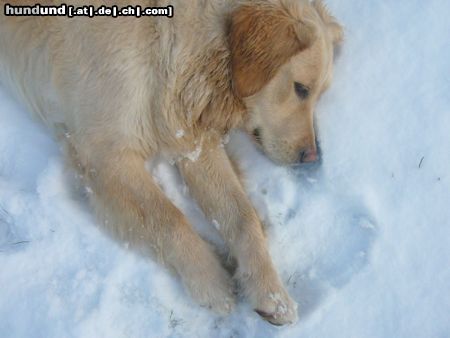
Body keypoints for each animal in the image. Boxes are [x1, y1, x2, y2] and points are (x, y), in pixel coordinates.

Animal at [0, 0, 342, 324]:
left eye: (319, 94)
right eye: (301, 89)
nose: (312, 156)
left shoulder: (191, 138)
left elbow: (243, 216)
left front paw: (271, 292)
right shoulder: (106, 153)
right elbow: (169, 219)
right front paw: (211, 282)